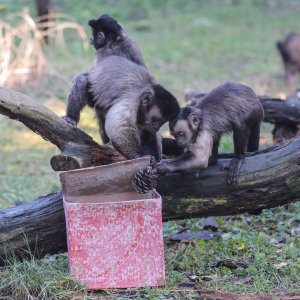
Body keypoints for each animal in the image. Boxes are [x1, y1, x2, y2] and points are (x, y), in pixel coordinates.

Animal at [63, 14, 146, 144]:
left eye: (94, 34)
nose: (90, 39)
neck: (116, 41)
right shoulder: (130, 43)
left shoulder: (103, 52)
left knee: (81, 79)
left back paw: (71, 118)